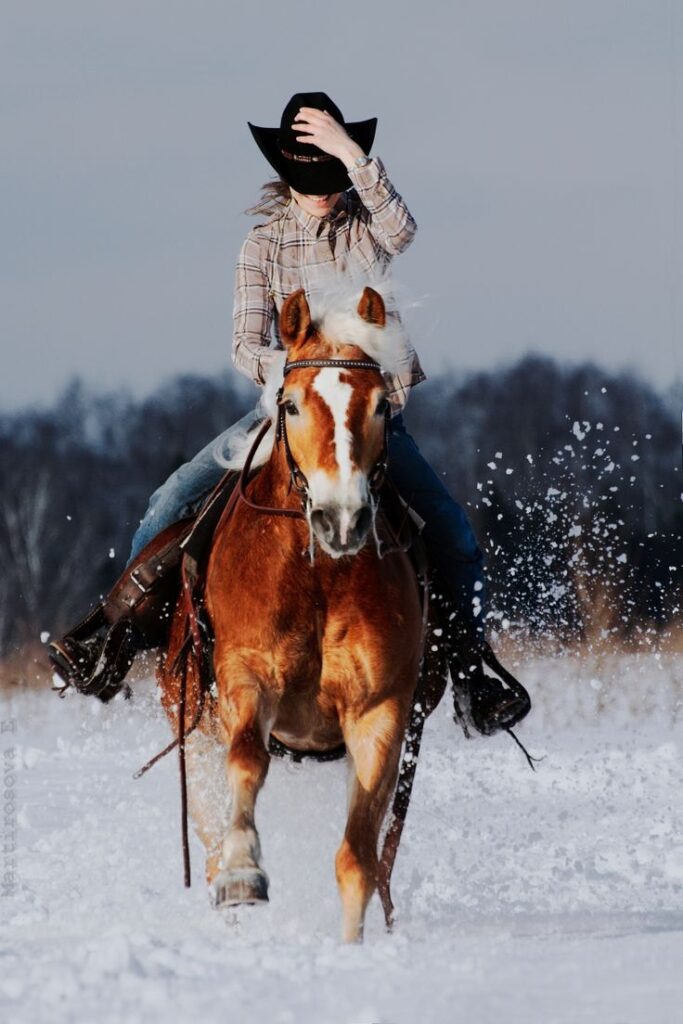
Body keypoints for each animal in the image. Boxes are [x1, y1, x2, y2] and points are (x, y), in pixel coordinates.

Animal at [157, 284, 430, 937]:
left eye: (381, 407)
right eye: (292, 405)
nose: (343, 519)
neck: (319, 575)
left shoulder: (380, 713)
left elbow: (357, 859)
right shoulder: (246, 679)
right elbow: (248, 764)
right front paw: (243, 875)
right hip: (192, 734)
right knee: (208, 839)